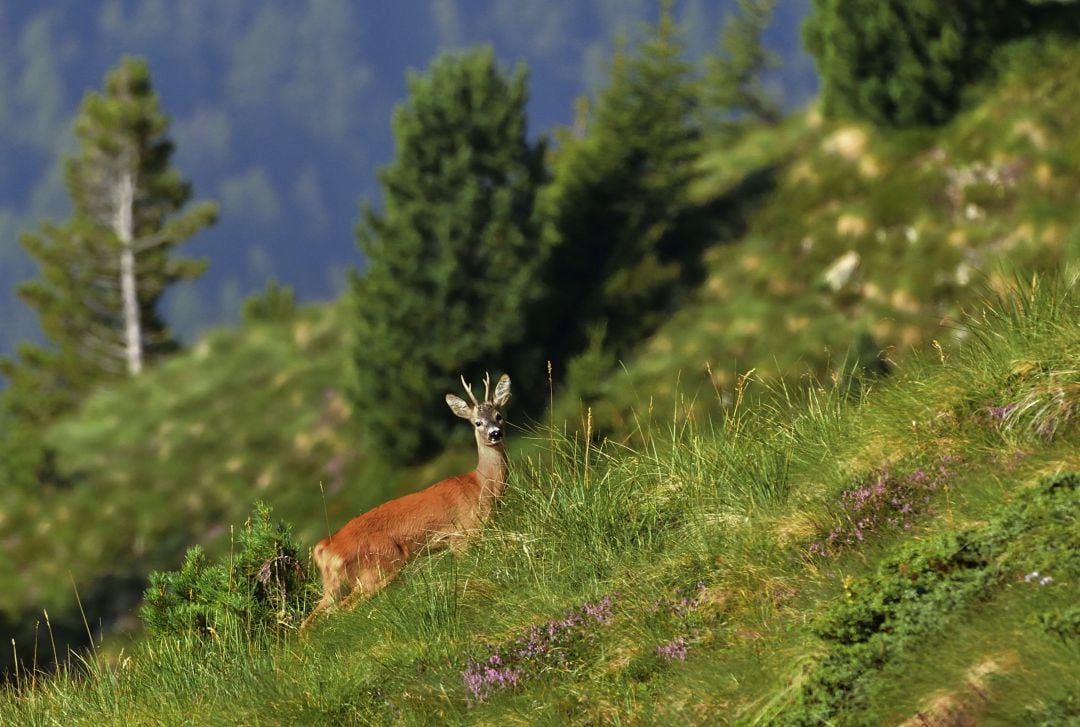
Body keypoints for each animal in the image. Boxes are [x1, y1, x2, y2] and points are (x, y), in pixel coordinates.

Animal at [300, 371, 509, 626]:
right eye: (477, 422)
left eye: (499, 415)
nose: (495, 433)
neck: (480, 485)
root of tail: (325, 548)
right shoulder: (463, 534)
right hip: (378, 569)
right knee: (344, 610)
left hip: (333, 585)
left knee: (308, 621)